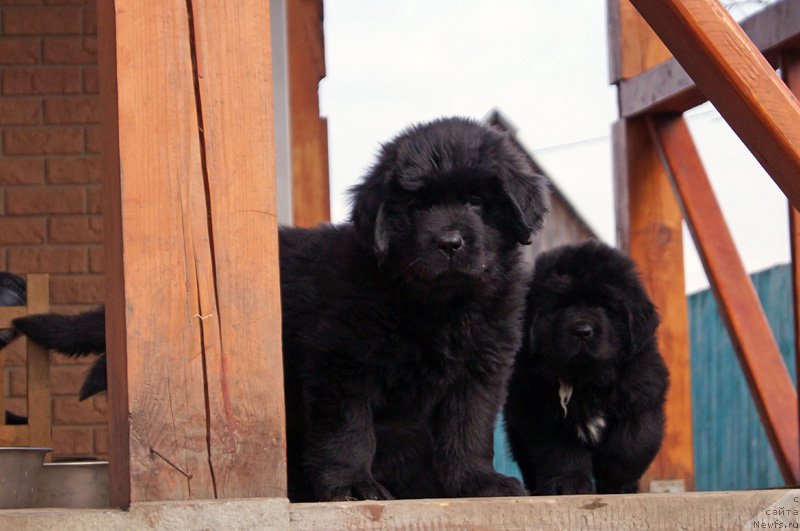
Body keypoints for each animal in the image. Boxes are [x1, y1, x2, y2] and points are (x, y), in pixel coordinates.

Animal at [506, 241, 668, 494]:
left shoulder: (641, 398)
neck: (588, 380)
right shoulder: (540, 412)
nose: (582, 331)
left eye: (605, 306)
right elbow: (560, 451)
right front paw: (569, 485)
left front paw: (616, 483)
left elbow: (630, 446)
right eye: (561, 306)